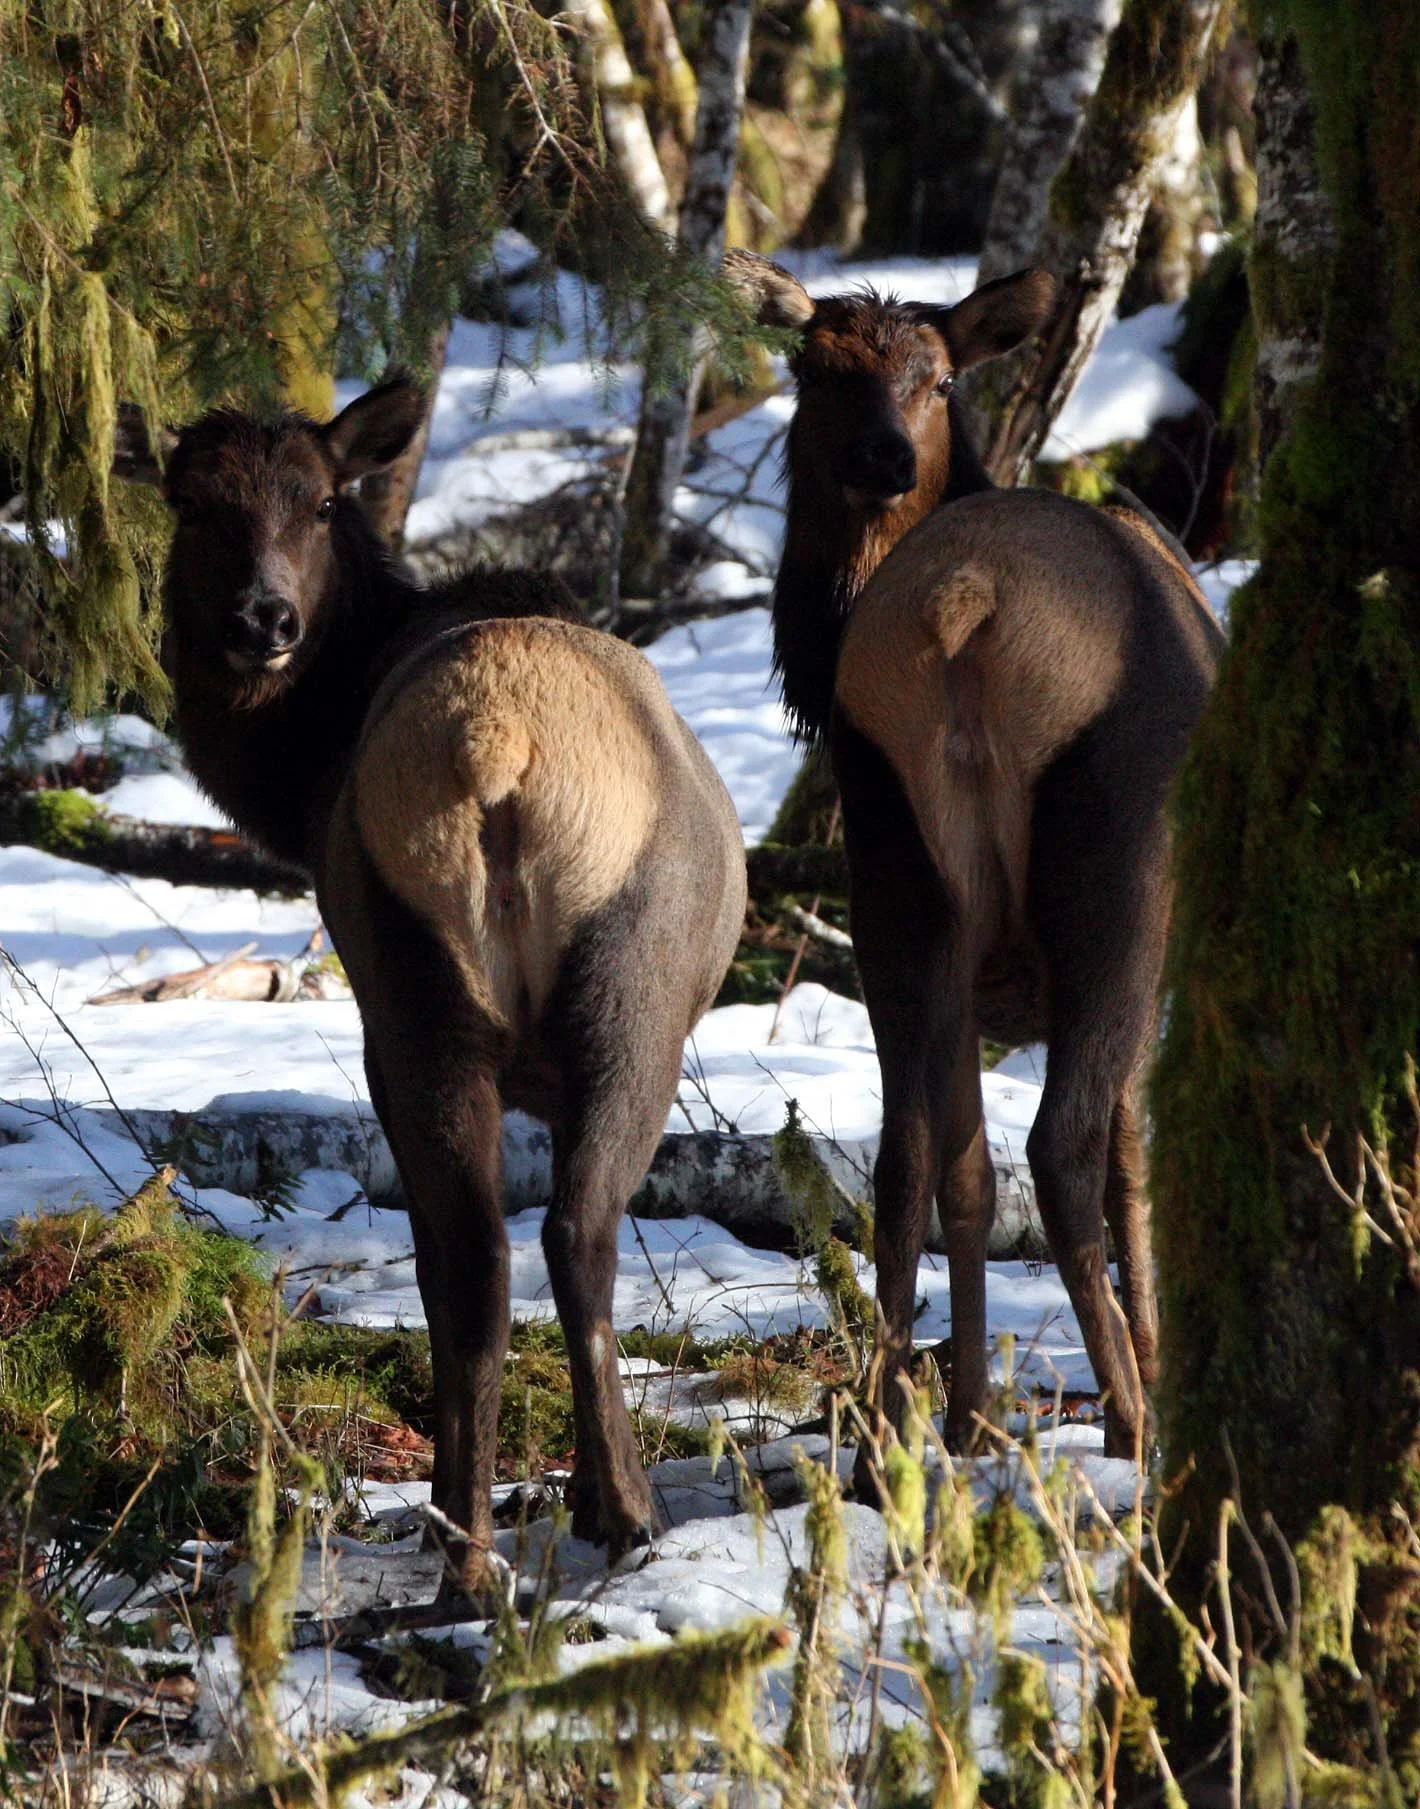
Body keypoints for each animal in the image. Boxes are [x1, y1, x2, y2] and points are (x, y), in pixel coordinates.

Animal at [115, 377, 748, 1600]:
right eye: (192, 503)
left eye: (319, 501)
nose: (263, 620)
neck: (296, 780)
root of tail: (499, 749)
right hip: (623, 995)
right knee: (558, 1240)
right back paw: (610, 1513)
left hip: (412, 989)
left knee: (479, 1258)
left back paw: (468, 1549)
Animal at [725, 250, 1222, 1463]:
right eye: (814, 367)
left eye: (938, 377)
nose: (884, 457)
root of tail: (965, 607)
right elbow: (1138, 1162)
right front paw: (1143, 1375)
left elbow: (958, 1167)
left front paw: (967, 1410)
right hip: (1118, 878)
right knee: (1063, 1148)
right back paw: (1131, 1421)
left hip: (896, 868)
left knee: (905, 1153)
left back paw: (890, 1428)